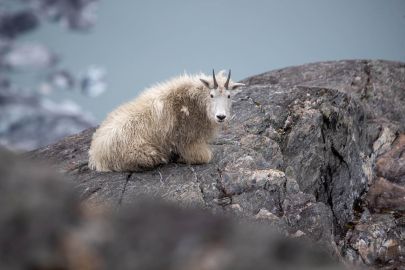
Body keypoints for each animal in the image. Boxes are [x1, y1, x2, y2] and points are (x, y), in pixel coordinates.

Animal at [88, 69, 243, 171]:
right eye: (211, 95)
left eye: (229, 96)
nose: (221, 116)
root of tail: (96, 154)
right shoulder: (187, 141)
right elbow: (206, 156)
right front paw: (181, 158)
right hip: (142, 153)